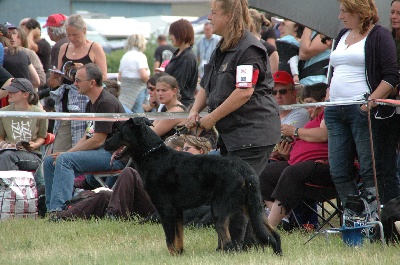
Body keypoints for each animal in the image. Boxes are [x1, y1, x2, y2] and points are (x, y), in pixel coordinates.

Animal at [105, 117, 282, 254]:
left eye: (119, 132)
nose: (105, 144)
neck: (153, 155)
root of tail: (245, 169)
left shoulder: (165, 210)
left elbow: (170, 240)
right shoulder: (177, 212)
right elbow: (178, 240)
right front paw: (179, 255)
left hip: (220, 208)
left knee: (228, 243)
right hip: (254, 207)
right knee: (274, 234)